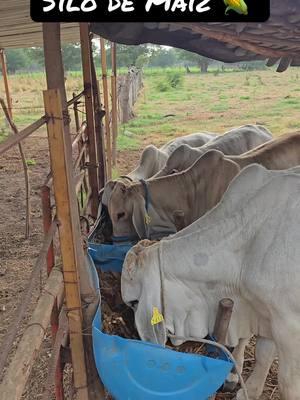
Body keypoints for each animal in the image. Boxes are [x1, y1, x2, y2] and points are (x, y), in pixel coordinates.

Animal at [120, 165, 300, 400]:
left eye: (134, 302)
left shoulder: (288, 326)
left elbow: (287, 384)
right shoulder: (266, 313)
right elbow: (263, 354)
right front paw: (250, 391)